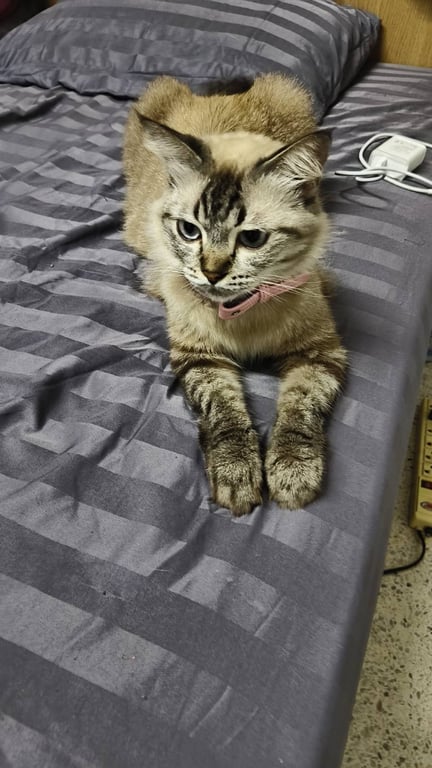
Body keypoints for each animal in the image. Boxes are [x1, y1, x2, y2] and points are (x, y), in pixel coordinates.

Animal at [123, 74, 347, 516]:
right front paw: (238, 476)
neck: (241, 313)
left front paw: (292, 472)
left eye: (252, 238)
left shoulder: (319, 353)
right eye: (189, 231)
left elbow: (300, 412)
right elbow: (226, 414)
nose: (211, 273)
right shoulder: (201, 358)